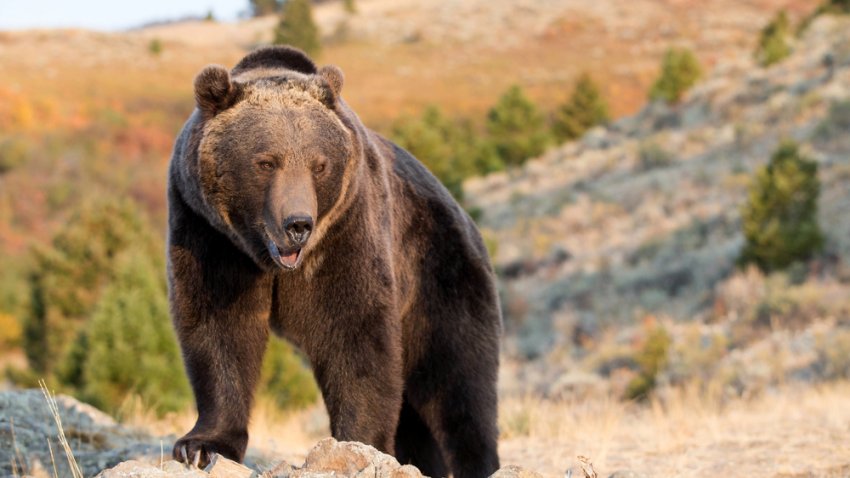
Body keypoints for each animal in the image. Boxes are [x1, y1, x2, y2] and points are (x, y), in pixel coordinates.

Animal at [164, 45, 496, 478]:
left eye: (318, 164)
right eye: (266, 161)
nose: (298, 224)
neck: (268, 260)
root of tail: (467, 218)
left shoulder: (346, 230)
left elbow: (354, 333)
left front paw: (359, 445)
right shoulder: (209, 234)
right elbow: (219, 327)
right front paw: (201, 446)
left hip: (440, 275)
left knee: (459, 382)